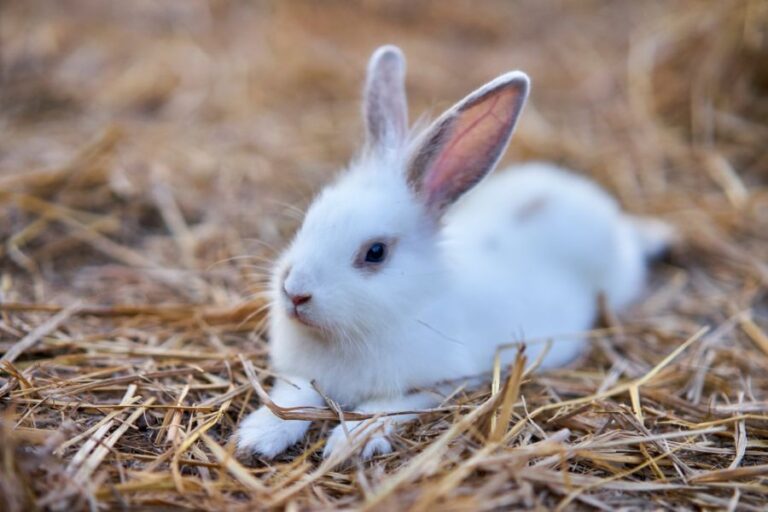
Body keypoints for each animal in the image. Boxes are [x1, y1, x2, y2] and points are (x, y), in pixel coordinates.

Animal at [236, 45, 673, 461]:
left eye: (375, 252)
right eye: (309, 219)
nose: (295, 293)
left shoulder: (438, 384)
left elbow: (384, 408)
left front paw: (349, 443)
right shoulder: (300, 377)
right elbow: (292, 398)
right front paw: (256, 438)